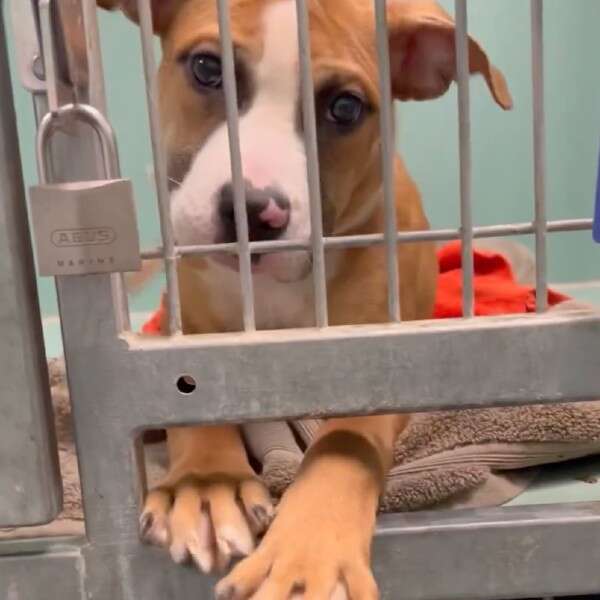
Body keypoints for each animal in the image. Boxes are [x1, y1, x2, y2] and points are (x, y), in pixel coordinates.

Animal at [98, 2, 510, 596]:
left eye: (345, 107)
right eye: (206, 68)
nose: (252, 211)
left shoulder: (382, 366)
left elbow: (345, 444)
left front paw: (306, 556)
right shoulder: (191, 335)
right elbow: (188, 397)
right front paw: (204, 484)